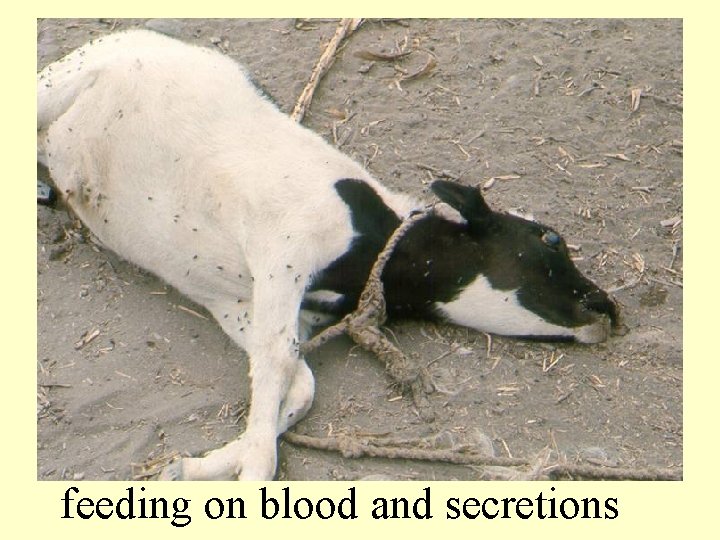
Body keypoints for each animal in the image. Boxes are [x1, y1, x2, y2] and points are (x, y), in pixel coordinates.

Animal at [36, 29, 616, 478]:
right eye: (550, 238)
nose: (609, 309)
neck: (369, 250)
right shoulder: (281, 257)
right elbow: (277, 370)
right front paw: (246, 474)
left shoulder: (248, 307)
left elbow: (298, 386)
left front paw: (196, 466)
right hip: (52, 87)